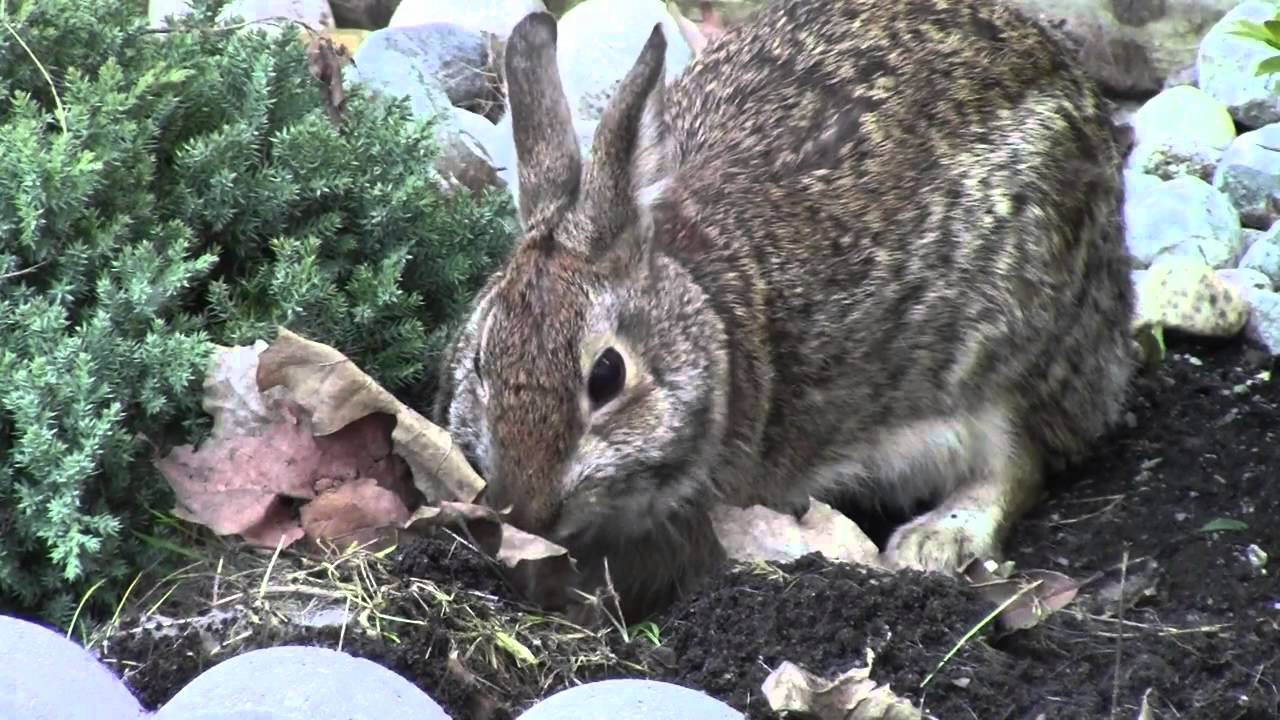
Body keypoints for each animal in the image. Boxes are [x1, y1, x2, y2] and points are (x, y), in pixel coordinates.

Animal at [433, 0, 1138, 619]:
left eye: (606, 377)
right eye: (480, 362)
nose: (527, 512)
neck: (710, 324)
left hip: (1013, 354)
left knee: (1020, 462)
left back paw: (934, 540)